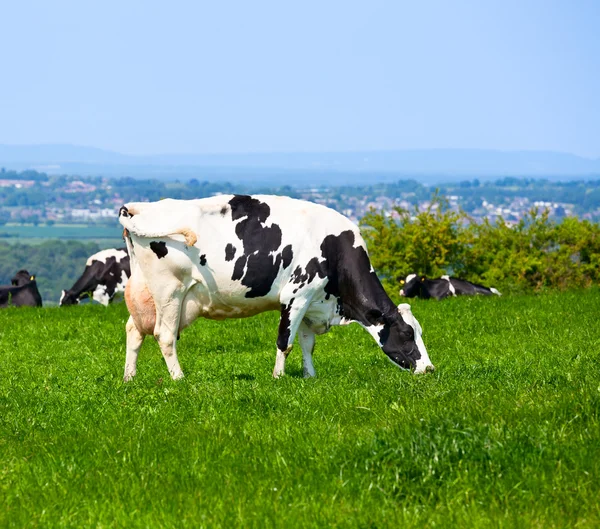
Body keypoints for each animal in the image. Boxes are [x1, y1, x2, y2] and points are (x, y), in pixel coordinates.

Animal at [118, 194, 436, 380]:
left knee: (134, 331)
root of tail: (140, 207)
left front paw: (310, 376)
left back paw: (129, 378)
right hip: (169, 291)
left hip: (146, 293)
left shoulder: (311, 301)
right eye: (407, 333)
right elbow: (286, 341)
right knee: (164, 335)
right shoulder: (296, 294)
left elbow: (307, 343)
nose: (429, 369)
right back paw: (179, 379)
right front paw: (278, 378)